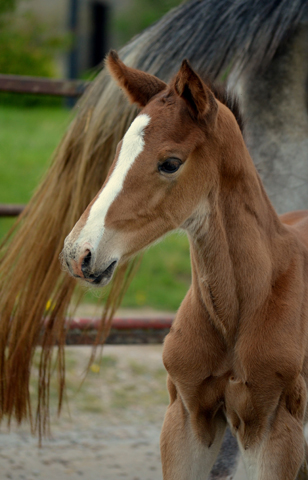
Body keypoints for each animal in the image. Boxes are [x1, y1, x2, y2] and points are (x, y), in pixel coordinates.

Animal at [62, 50, 308, 478]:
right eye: (118, 154)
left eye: (170, 163)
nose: (79, 253)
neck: (239, 310)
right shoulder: (187, 417)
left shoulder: (277, 430)